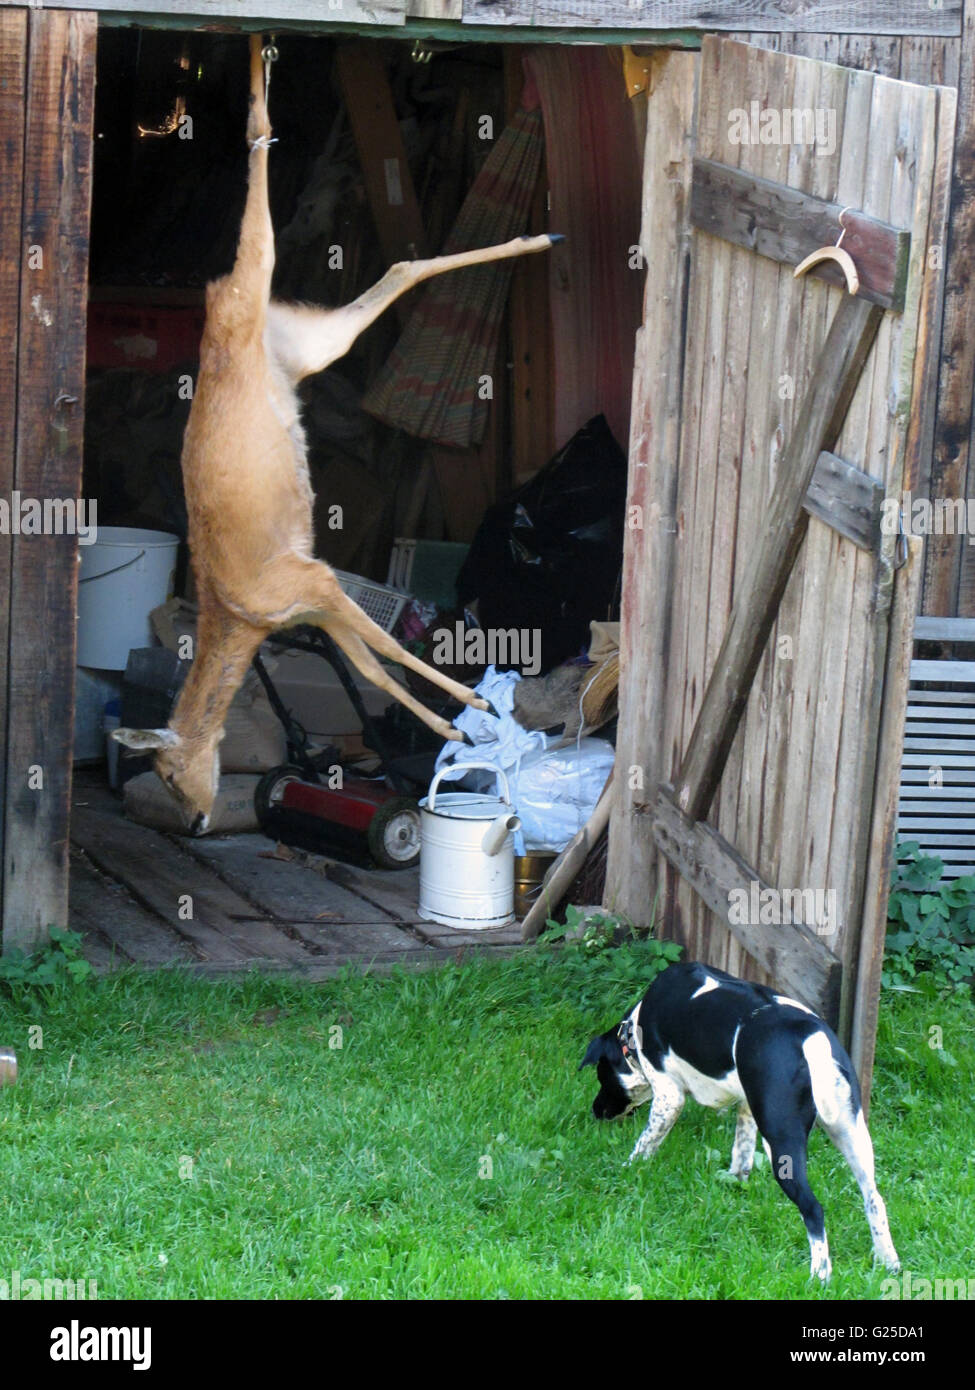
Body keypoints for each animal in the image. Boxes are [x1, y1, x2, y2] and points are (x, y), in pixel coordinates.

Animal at [113, 34, 560, 834]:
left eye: (166, 768)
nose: (194, 821)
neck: (242, 614)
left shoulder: (312, 579)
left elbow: (386, 651)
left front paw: (476, 702)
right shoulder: (319, 599)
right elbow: (368, 666)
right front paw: (454, 731)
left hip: (262, 290)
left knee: (258, 216)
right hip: (312, 344)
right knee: (396, 267)